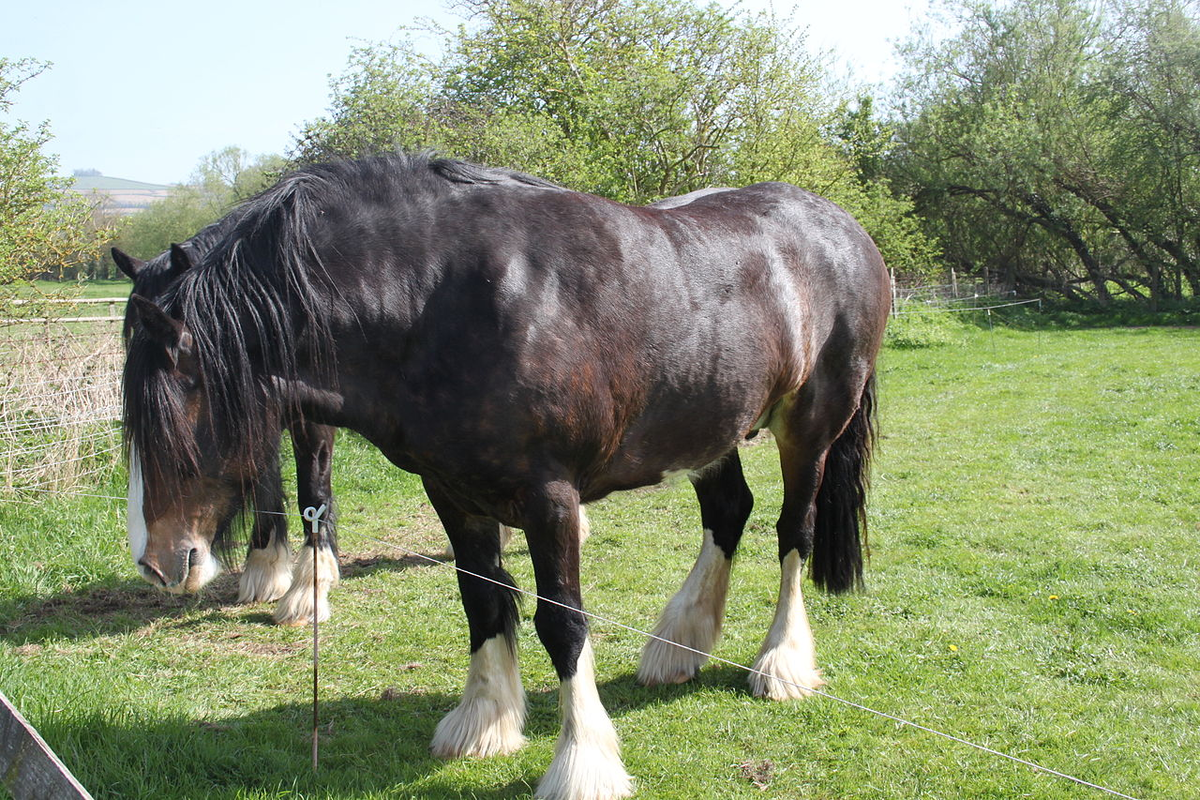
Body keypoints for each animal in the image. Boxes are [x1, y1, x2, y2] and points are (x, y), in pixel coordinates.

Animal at [121, 153, 892, 796]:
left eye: (185, 396)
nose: (159, 561)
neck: (442, 301)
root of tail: (846, 228)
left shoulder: (548, 499)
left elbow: (563, 622)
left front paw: (583, 763)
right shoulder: (454, 494)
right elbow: (483, 599)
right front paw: (484, 722)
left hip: (810, 426)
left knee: (793, 530)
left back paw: (781, 662)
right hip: (707, 426)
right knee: (730, 510)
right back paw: (679, 643)